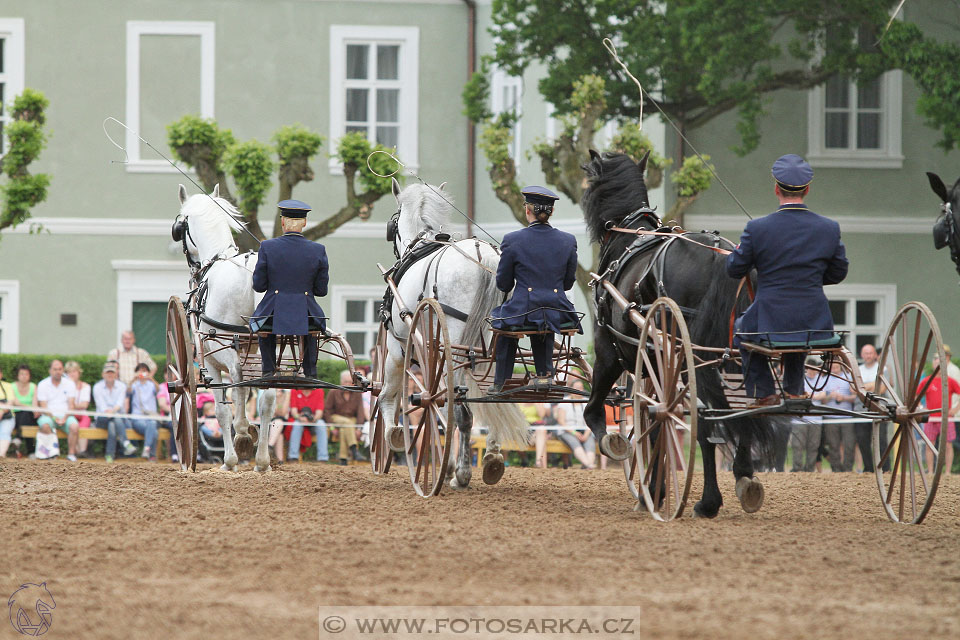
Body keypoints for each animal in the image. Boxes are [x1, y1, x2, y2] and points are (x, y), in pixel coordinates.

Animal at [175, 184, 276, 470]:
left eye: (179, 227)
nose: (194, 268)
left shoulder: (209, 359)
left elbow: (221, 409)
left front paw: (229, 460)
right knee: (268, 398)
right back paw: (262, 460)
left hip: (225, 348)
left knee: (238, 379)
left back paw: (242, 435)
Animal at [376, 178, 524, 488]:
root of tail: (484, 254)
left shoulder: (398, 347)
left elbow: (388, 395)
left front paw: (393, 436)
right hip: (492, 349)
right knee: (491, 396)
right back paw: (491, 459)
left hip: (450, 352)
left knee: (457, 410)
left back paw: (459, 473)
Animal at [576, 151, 772, 520]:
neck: (631, 235)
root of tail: (719, 254)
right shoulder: (654, 362)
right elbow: (653, 429)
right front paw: (653, 489)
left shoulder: (609, 350)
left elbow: (598, 411)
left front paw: (636, 472)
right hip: (734, 358)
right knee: (741, 409)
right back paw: (744, 478)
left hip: (691, 361)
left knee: (705, 420)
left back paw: (707, 501)